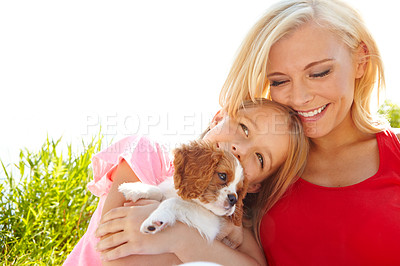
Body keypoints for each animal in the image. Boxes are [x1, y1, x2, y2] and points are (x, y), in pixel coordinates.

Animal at [118, 140, 247, 248]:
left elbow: (174, 202)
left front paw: (156, 220)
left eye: (239, 190)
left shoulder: (211, 223)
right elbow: (159, 191)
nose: (234, 199)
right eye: (222, 175)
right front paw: (134, 189)